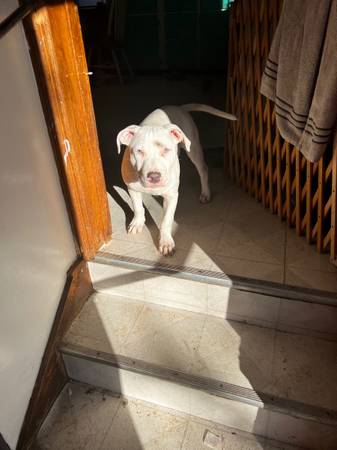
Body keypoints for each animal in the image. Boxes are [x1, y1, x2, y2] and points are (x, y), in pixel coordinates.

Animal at [117, 103, 235, 256]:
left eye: (166, 150)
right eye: (139, 151)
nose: (154, 176)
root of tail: (179, 107)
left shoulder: (171, 196)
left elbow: (166, 220)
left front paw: (166, 242)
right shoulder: (132, 188)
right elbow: (138, 207)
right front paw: (137, 223)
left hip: (193, 148)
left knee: (203, 169)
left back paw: (205, 193)